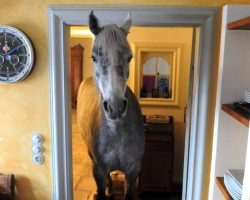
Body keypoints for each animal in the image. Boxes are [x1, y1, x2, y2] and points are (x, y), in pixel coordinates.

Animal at [77, 11, 146, 199]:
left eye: (129, 57)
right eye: (93, 57)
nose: (115, 107)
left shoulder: (133, 171)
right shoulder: (98, 171)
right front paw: (105, 190)